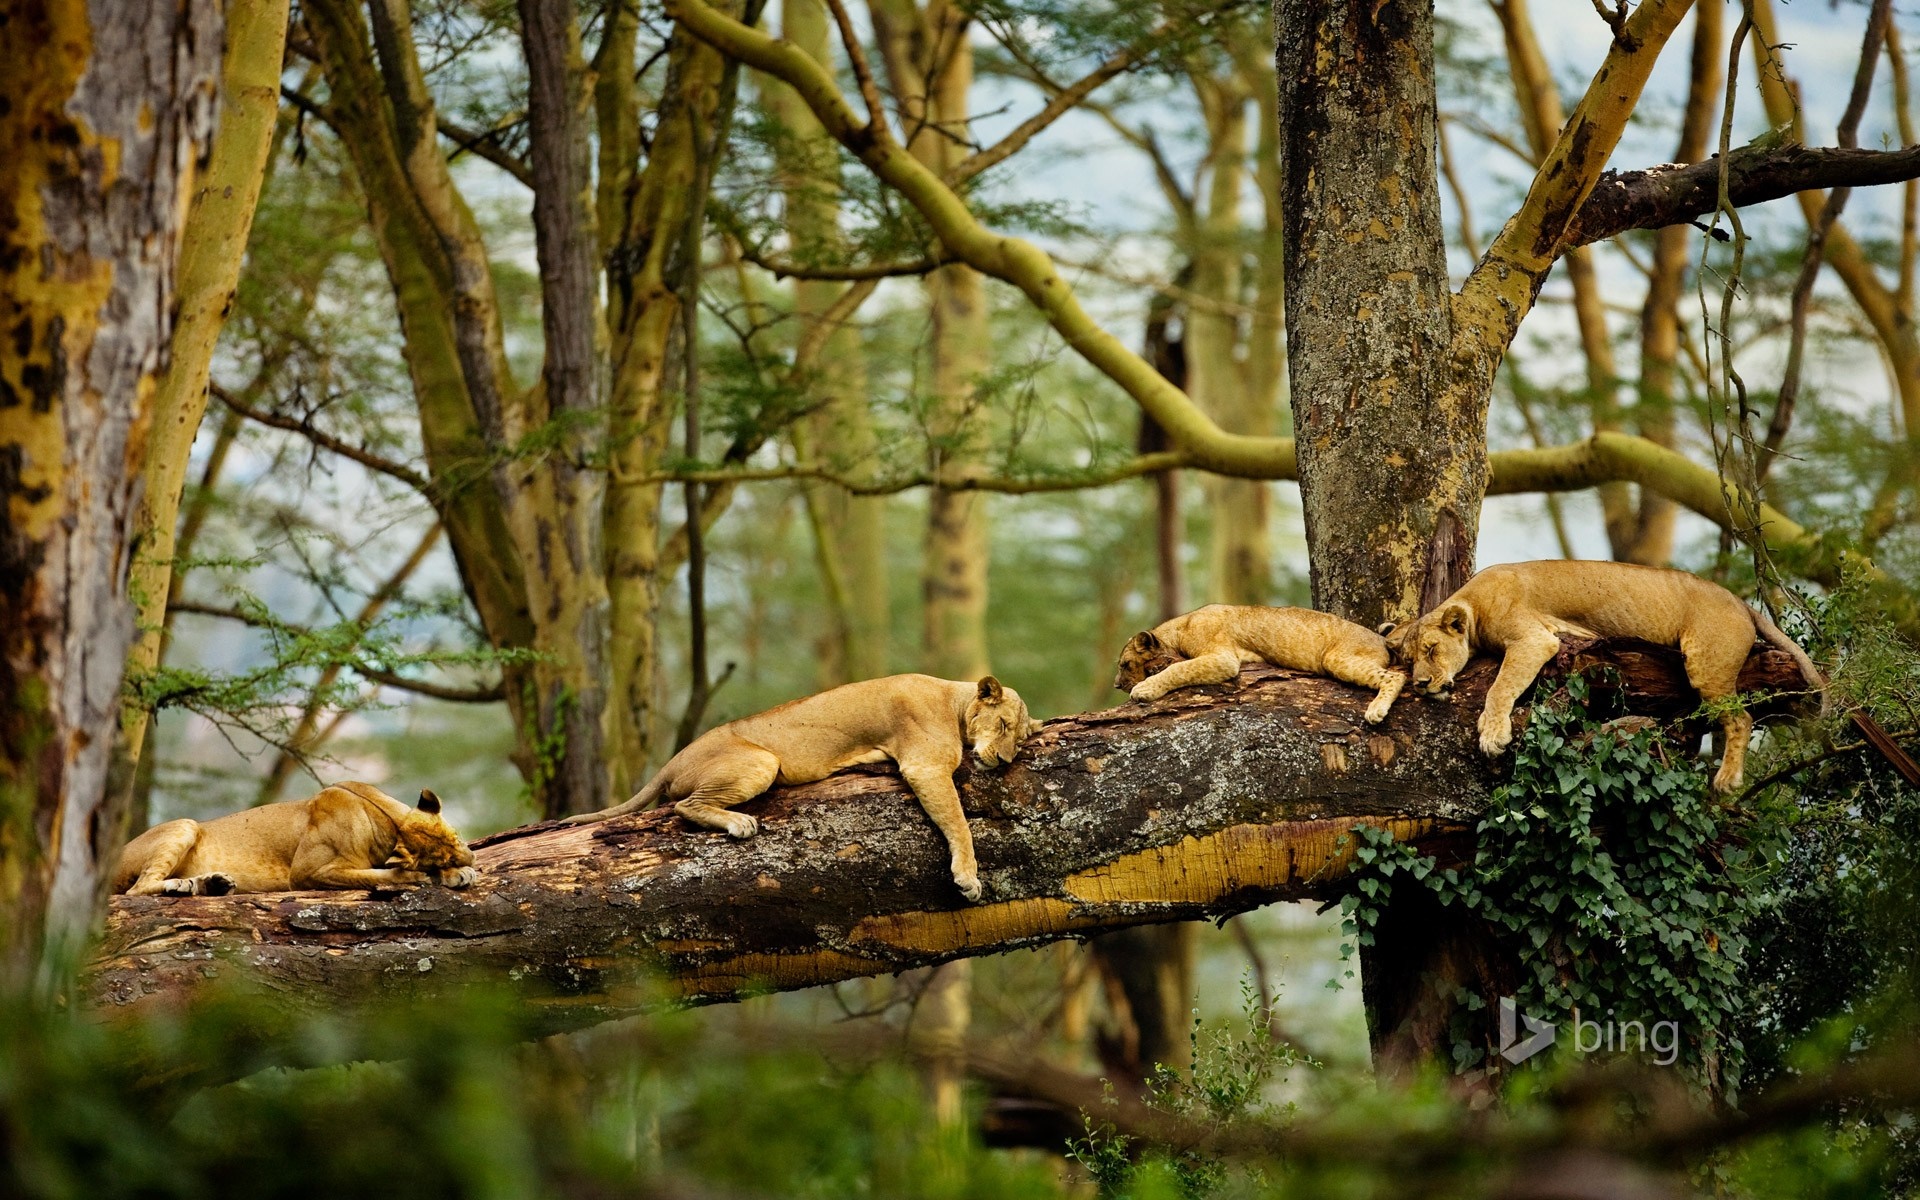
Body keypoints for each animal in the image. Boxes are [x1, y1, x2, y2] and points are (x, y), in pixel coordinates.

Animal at [112, 782, 478, 896]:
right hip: (184, 825)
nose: (472, 859)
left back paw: (210, 883)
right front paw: (428, 876)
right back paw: (181, 885)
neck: (388, 821)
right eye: (441, 859)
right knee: (137, 889)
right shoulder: (306, 873)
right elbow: (375, 875)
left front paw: (461, 873)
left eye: (459, 840)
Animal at [561, 674, 1038, 903]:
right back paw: (739, 823)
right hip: (761, 761)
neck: (954, 700)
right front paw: (968, 878)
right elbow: (960, 825)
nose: (1003, 760)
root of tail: (672, 761)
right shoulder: (926, 766)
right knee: (684, 805)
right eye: (1002, 725)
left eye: (1019, 741)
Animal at [1114, 604, 1408, 724]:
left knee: (1397, 677)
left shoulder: (1223, 657)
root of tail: (1382, 640)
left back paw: (1376, 710)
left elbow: (1179, 668)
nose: (1116, 685)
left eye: (1125, 664)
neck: (1177, 628)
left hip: (1337, 657)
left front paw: (1143, 689)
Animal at [1380, 560, 1825, 794]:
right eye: (1408, 660)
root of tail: (1740, 602)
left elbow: (1500, 686)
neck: (1471, 602)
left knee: (1740, 718)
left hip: (1706, 663)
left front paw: (1492, 735)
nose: (1421, 683)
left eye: (1432, 650)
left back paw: (1728, 780)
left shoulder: (1534, 640)